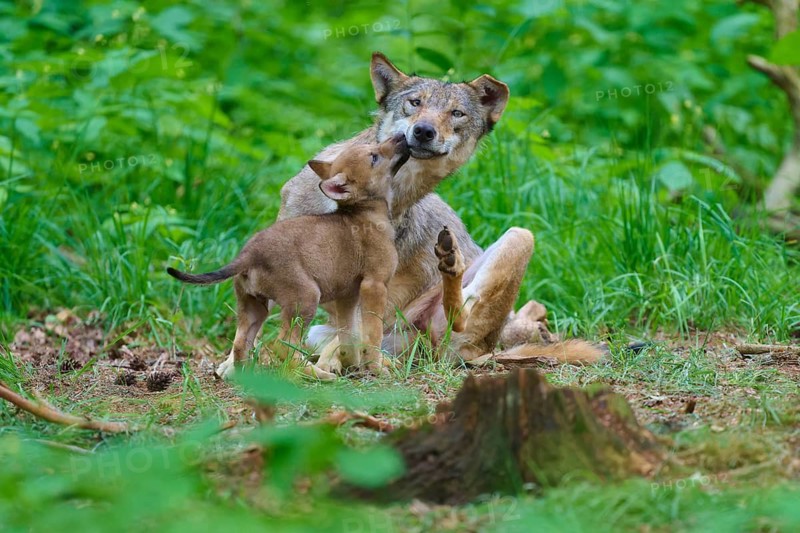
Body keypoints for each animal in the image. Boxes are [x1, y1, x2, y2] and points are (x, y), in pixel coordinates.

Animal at [168, 134, 411, 379]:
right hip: (306, 298)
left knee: (241, 343)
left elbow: (348, 335)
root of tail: (248, 254)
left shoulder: (348, 296)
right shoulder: (375, 285)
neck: (365, 212)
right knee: (282, 345)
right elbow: (373, 333)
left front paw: (352, 364)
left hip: (254, 306)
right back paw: (317, 374)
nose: (401, 136)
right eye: (374, 157)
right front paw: (376, 368)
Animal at [224, 52, 604, 374]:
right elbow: (254, 323)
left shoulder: (369, 285)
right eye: (414, 103)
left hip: (519, 238)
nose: (423, 131)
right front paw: (232, 366)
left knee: (456, 323)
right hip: (328, 329)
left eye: (456, 113)